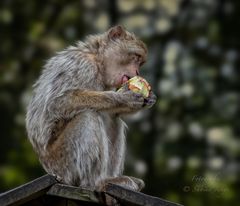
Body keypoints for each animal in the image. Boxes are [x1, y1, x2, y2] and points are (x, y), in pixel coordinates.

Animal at [26, 25, 157, 198]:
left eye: (140, 62)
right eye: (135, 57)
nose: (137, 73)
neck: (98, 61)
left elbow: (113, 114)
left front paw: (149, 98)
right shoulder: (82, 66)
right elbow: (57, 104)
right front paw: (122, 98)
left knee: (113, 119)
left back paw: (112, 179)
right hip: (63, 163)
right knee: (88, 116)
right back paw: (96, 182)